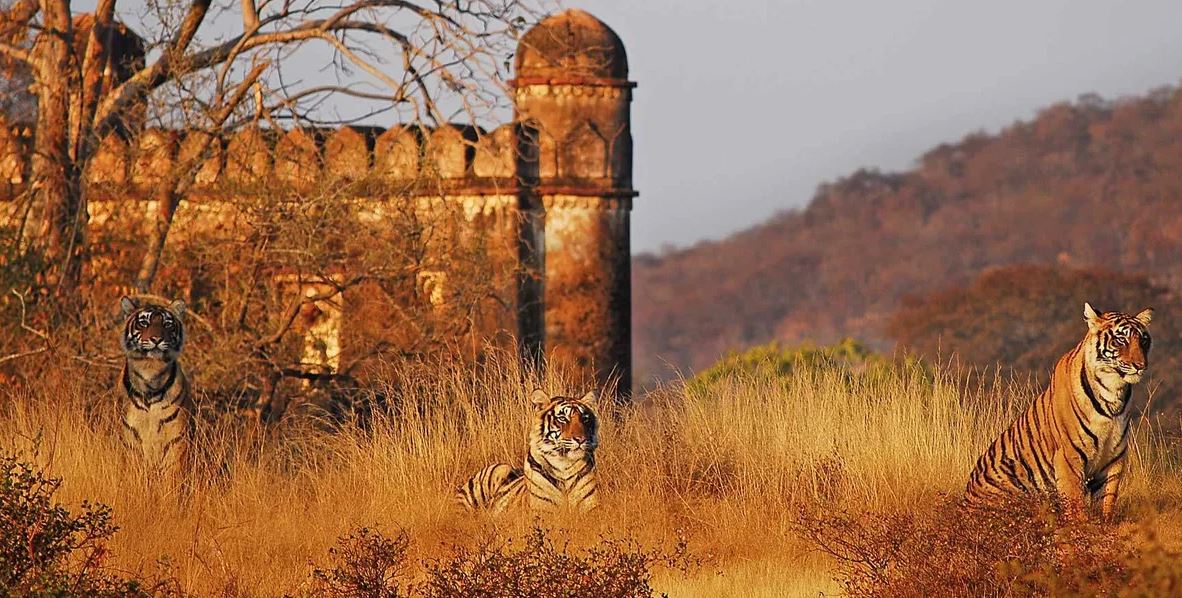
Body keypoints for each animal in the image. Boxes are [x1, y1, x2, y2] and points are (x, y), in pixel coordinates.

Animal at [118, 296, 193, 484]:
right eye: (144, 322)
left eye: (167, 324)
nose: (157, 339)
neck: (151, 372)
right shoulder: (131, 437)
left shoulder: (176, 439)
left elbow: (172, 477)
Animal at [453, 387, 600, 512]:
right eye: (562, 419)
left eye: (585, 419)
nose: (581, 439)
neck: (564, 465)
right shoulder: (542, 511)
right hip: (497, 471)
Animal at [964, 302, 1148, 517]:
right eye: (1121, 340)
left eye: (1144, 341)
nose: (1140, 366)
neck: (1113, 392)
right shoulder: (1069, 455)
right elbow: (1076, 503)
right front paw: (1081, 525)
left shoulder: (1114, 457)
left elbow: (1107, 500)